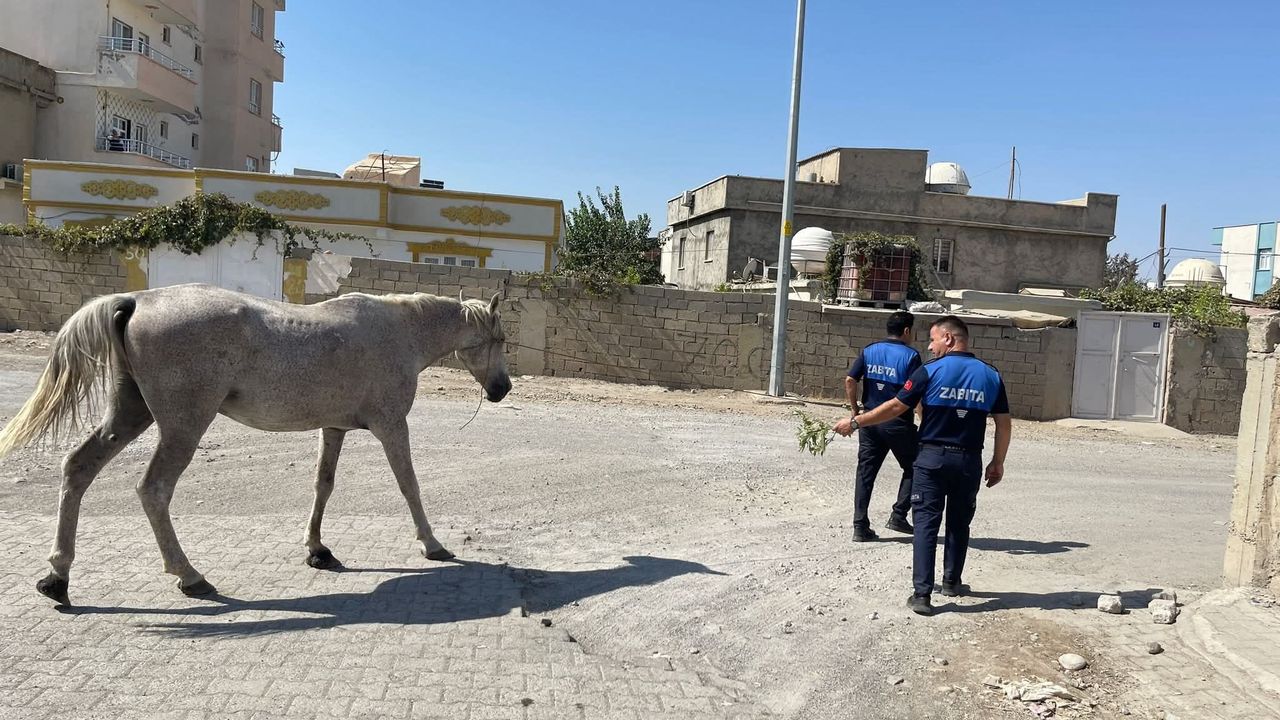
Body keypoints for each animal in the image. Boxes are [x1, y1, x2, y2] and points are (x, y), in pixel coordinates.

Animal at [0, 283, 511, 606]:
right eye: (500, 338)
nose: (502, 388)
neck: (398, 332)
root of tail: (136, 301)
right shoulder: (392, 427)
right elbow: (409, 486)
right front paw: (432, 544)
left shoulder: (334, 429)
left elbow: (323, 486)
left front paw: (318, 549)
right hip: (182, 428)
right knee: (154, 490)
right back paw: (190, 576)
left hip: (130, 415)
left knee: (78, 469)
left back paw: (58, 578)